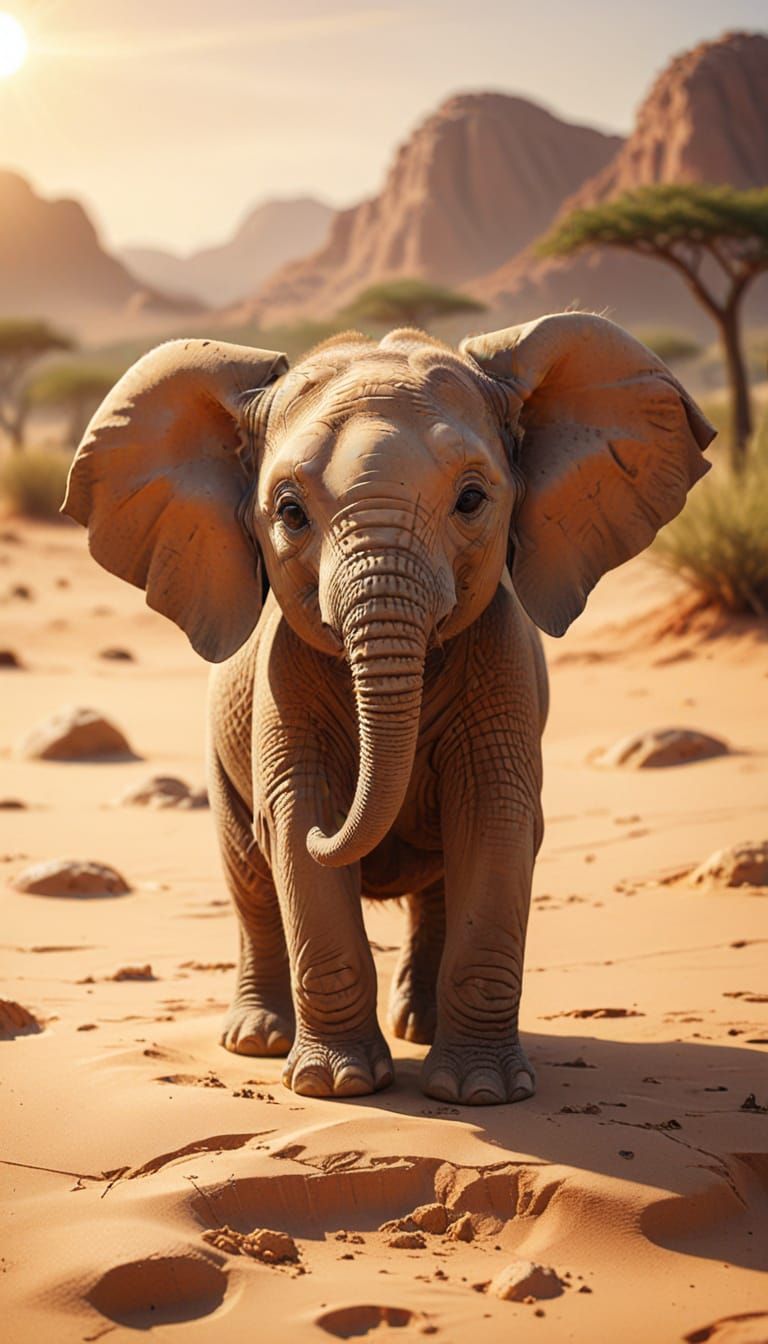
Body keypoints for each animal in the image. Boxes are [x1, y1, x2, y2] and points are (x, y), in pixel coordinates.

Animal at [63, 313, 714, 1105]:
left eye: (472, 500)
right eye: (289, 513)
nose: (334, 835)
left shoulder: (501, 658)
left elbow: (495, 820)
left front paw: (482, 1093)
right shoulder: (282, 677)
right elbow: (296, 815)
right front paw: (336, 1086)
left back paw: (421, 1032)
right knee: (249, 879)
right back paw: (258, 1041)